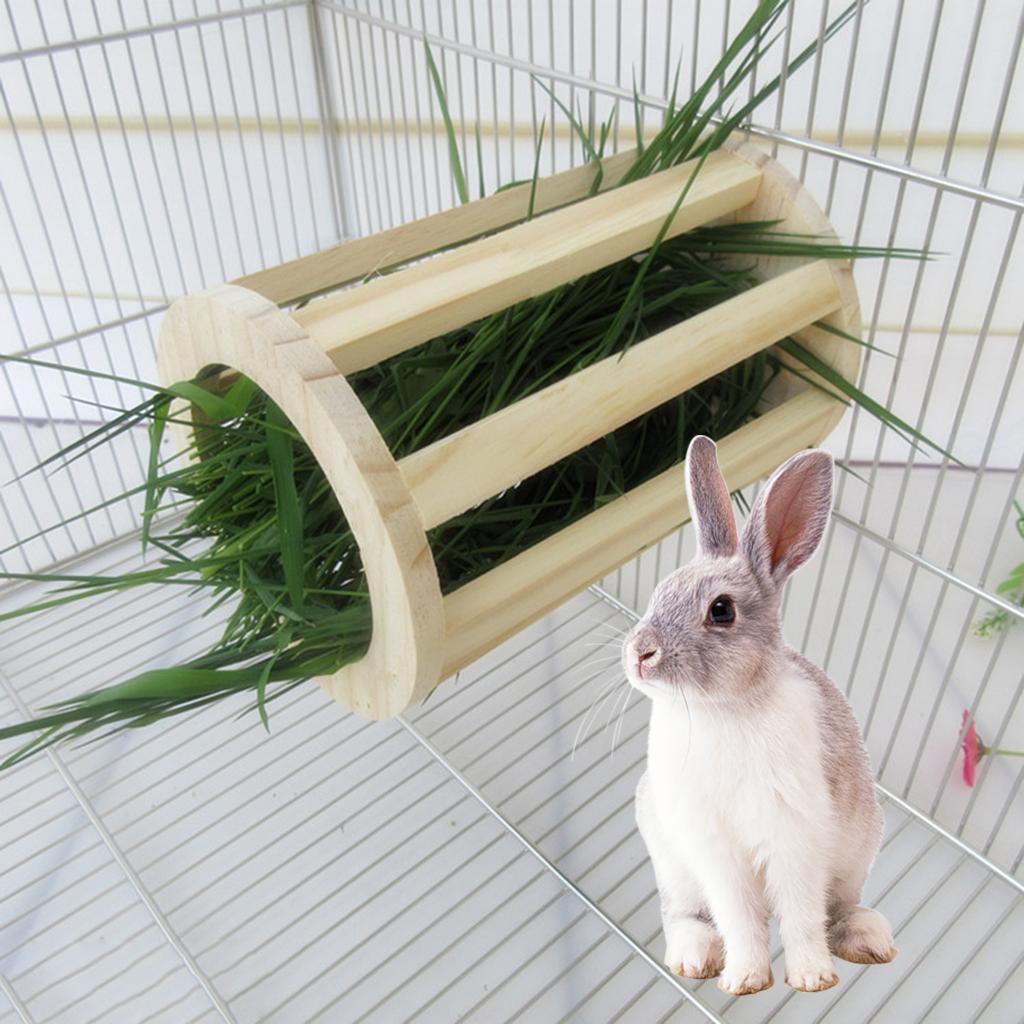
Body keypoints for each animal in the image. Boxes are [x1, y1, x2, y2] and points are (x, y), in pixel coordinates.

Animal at [623, 435, 897, 996]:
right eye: (660, 591)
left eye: (721, 610)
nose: (639, 653)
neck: (723, 709)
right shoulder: (714, 850)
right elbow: (739, 918)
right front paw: (745, 980)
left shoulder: (795, 837)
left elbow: (800, 914)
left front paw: (812, 978)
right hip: (672, 863)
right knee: (683, 914)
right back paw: (694, 958)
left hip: (857, 853)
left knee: (837, 908)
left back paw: (868, 940)